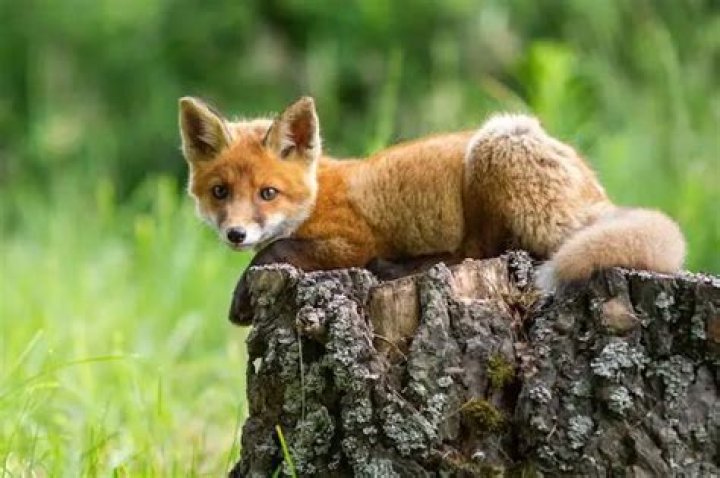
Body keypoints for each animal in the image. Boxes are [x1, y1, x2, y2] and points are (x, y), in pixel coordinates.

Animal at [178, 96, 686, 325]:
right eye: (220, 192)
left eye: (267, 193)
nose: (235, 234)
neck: (318, 190)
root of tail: (598, 194)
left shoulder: (351, 241)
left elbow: (277, 249)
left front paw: (242, 294)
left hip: (494, 146)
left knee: (477, 251)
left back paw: (403, 265)